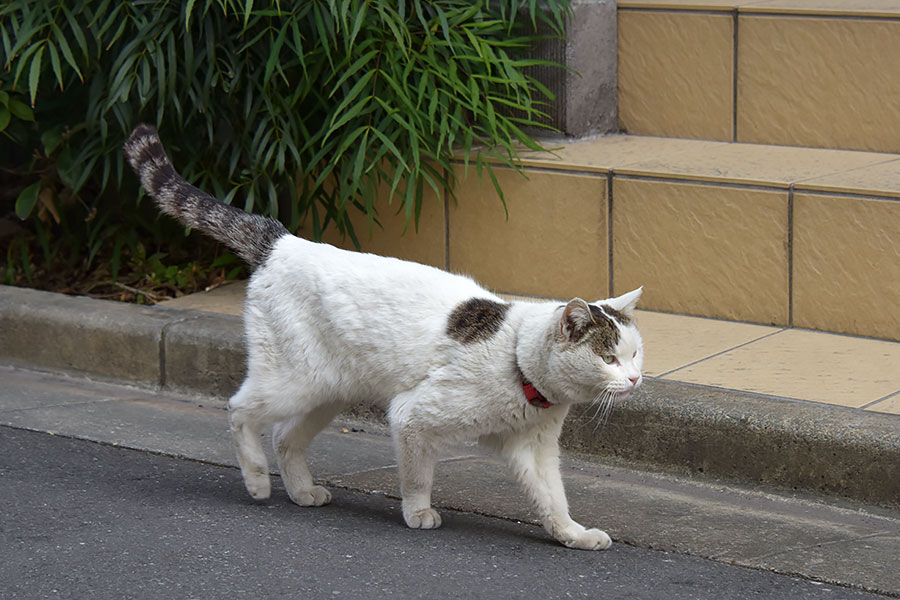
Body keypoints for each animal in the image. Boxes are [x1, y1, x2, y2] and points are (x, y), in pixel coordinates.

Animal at [123, 124, 644, 552]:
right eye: (609, 358)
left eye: (636, 354)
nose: (637, 380)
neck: (516, 362)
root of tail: (285, 241)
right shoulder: (412, 416)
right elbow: (417, 476)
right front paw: (418, 513)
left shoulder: (534, 450)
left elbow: (552, 501)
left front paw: (573, 535)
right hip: (294, 380)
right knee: (238, 411)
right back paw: (256, 481)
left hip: (327, 390)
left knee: (285, 436)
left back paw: (302, 491)